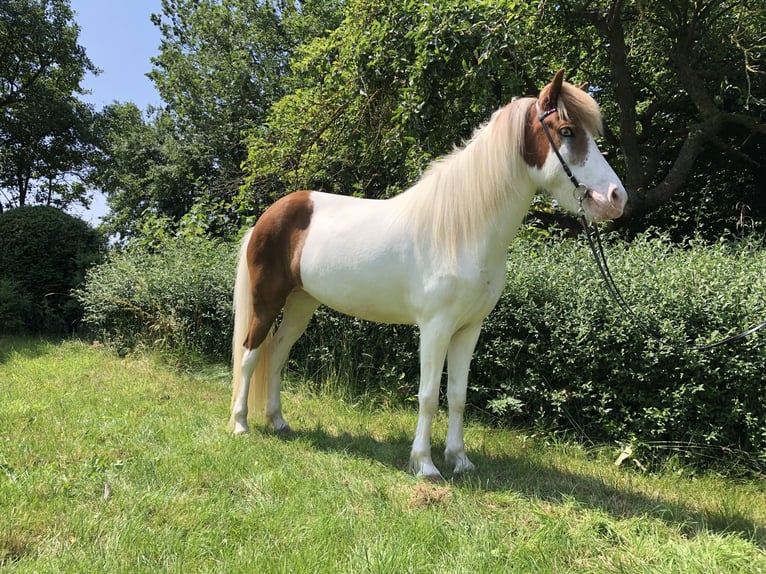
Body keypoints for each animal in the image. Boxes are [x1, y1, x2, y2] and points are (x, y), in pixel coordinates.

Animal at [230, 69, 627, 481]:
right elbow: (428, 397)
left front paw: (460, 460)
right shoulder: (435, 327)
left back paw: (278, 422)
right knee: (250, 353)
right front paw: (425, 464)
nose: (616, 198)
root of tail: (267, 217)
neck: (461, 231)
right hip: (267, 300)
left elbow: (457, 396)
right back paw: (241, 424)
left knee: (277, 353)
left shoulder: (468, 329)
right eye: (566, 131)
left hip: (301, 303)